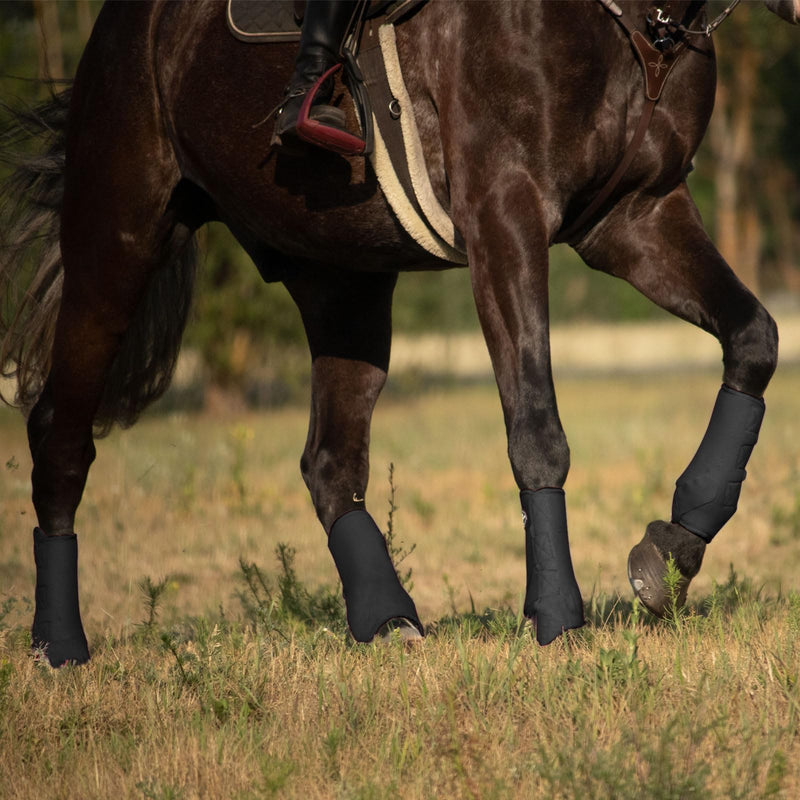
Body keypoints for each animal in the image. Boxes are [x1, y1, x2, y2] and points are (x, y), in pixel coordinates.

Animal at [1, 0, 797, 667]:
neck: (636, 29)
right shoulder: (505, 218)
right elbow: (537, 430)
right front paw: (557, 617)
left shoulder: (636, 217)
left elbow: (753, 340)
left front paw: (672, 551)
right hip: (119, 241)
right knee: (60, 435)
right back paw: (58, 645)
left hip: (341, 279)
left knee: (330, 460)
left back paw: (387, 619)